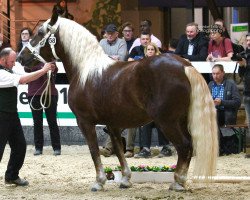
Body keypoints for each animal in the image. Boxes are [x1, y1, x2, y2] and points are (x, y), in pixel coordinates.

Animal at [17, 11, 218, 191]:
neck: (85, 70)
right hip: (182, 120)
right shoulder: (112, 123)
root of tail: (185, 66)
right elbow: (118, 149)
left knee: (184, 146)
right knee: (189, 146)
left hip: (167, 122)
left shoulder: (85, 122)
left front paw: (99, 182)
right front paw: (126, 180)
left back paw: (178, 183)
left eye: (40, 33)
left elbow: (94, 150)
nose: (20, 57)